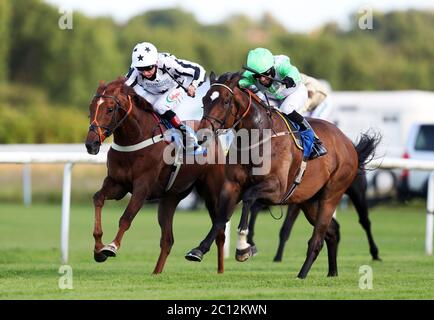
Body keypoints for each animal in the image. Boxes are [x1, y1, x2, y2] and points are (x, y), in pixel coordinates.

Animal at [85, 79, 227, 274]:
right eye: (91, 107)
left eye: (110, 109)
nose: (91, 144)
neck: (136, 138)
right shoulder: (117, 184)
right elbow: (98, 198)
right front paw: (98, 249)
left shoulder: (142, 187)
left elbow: (126, 217)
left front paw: (111, 247)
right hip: (170, 198)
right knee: (168, 240)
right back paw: (156, 273)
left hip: (212, 192)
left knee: (220, 231)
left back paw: (214, 267)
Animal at [187, 72, 380, 278]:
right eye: (205, 99)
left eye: (224, 101)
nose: (202, 136)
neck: (257, 136)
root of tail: (349, 145)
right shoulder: (231, 186)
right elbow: (220, 218)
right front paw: (199, 249)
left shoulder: (277, 189)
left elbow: (248, 198)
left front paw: (244, 246)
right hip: (310, 201)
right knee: (332, 232)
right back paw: (332, 272)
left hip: (333, 194)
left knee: (322, 236)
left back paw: (302, 274)